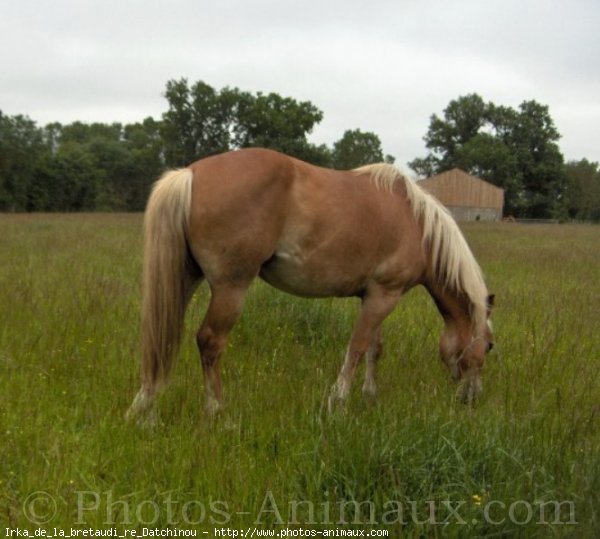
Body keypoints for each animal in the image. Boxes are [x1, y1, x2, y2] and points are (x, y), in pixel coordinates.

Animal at [125, 149, 492, 426]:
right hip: (230, 288)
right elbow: (357, 348)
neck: (417, 225)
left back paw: (144, 409)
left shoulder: (377, 295)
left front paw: (369, 397)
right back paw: (218, 412)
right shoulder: (384, 295)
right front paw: (338, 403)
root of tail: (191, 173)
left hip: (185, 279)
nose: (472, 398)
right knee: (210, 342)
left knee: (162, 339)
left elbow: (374, 349)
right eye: (488, 347)